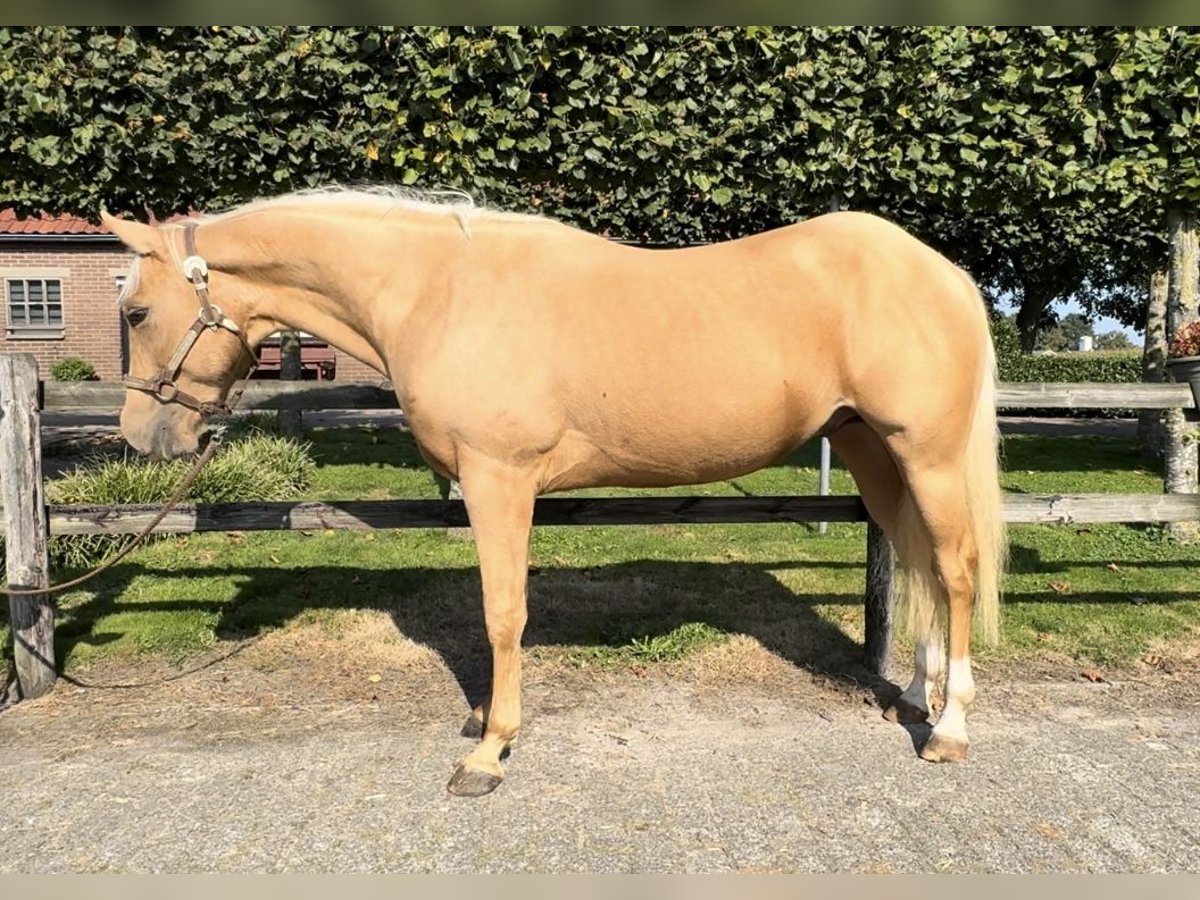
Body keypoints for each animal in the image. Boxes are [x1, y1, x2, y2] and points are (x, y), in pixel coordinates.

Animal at [100, 190, 1003, 796]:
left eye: (137, 310)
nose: (142, 437)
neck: (439, 292)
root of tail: (944, 272)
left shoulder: (498, 479)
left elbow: (503, 612)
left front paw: (489, 750)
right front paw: (481, 721)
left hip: (924, 453)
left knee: (956, 569)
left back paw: (951, 728)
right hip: (869, 449)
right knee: (919, 562)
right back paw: (914, 700)